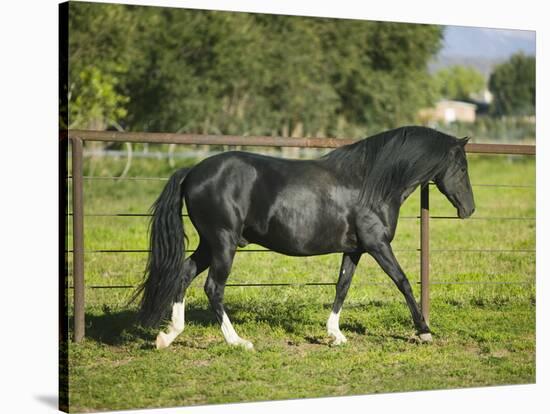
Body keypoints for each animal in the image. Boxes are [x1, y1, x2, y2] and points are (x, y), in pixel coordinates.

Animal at [134, 125, 474, 350]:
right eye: (461, 166)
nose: (469, 209)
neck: (370, 184)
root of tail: (191, 172)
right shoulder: (378, 244)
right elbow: (402, 282)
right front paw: (424, 331)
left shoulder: (355, 249)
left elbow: (342, 286)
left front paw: (335, 335)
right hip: (223, 244)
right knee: (213, 288)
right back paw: (238, 341)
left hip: (209, 244)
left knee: (183, 274)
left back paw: (167, 336)